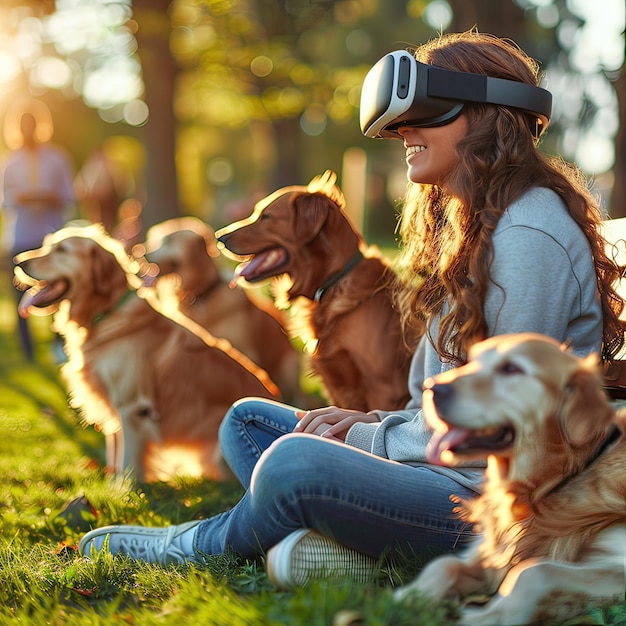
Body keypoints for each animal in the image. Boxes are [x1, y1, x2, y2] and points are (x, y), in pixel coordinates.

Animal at [13, 223, 278, 478]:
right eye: (47, 245)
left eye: (62, 250)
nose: (18, 262)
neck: (105, 314)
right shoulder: (114, 407)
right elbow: (115, 453)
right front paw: (113, 486)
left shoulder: (133, 407)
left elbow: (127, 460)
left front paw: (127, 488)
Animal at [394, 334, 624, 624]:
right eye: (473, 362)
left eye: (511, 368)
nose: (430, 388)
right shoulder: (492, 550)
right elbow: (445, 563)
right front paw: (411, 597)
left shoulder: (617, 566)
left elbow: (534, 571)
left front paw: (488, 616)